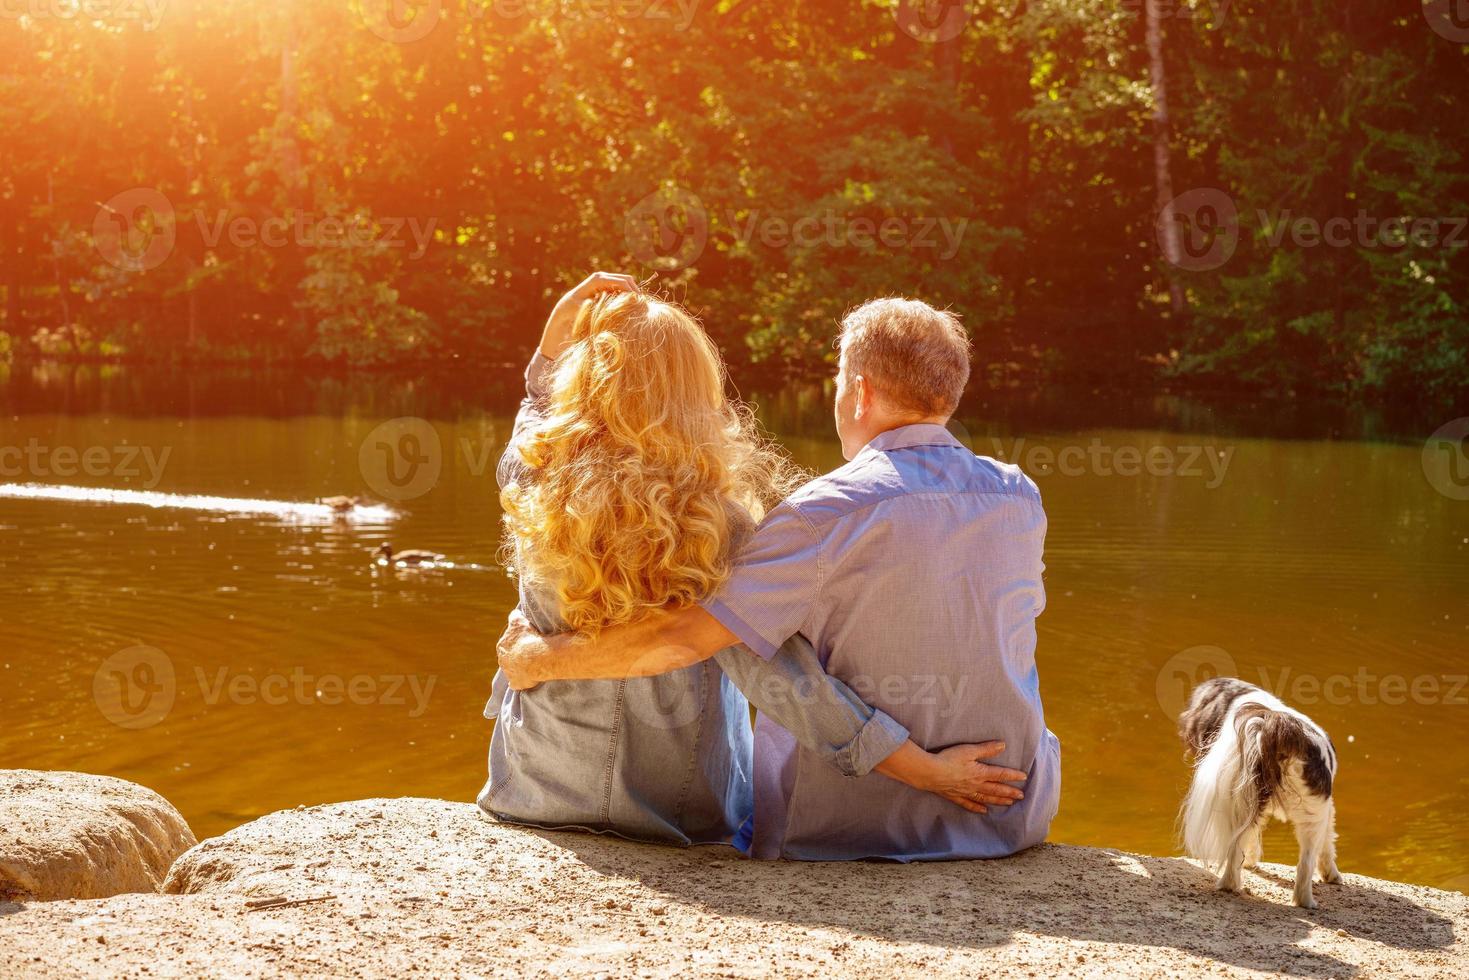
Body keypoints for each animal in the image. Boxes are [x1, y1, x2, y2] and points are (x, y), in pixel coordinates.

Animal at [1175, 678, 1339, 910]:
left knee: (1236, 850)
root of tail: (1275, 725)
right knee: (1306, 863)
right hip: (1314, 812)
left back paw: (1229, 885)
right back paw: (1306, 903)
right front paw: (1331, 874)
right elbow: (1328, 841)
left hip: (1243, 803)